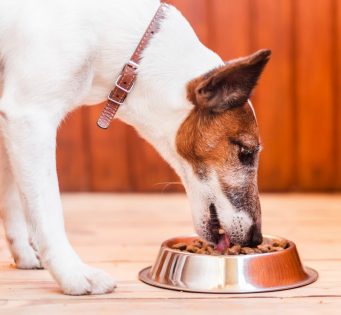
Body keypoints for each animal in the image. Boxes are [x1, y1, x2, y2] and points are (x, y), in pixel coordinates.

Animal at [0, 0, 270, 296]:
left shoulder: (12, 124)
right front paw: (73, 274)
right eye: (246, 152)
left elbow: (13, 199)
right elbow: (48, 212)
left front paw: (24, 253)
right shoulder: (30, 116)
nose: (256, 239)